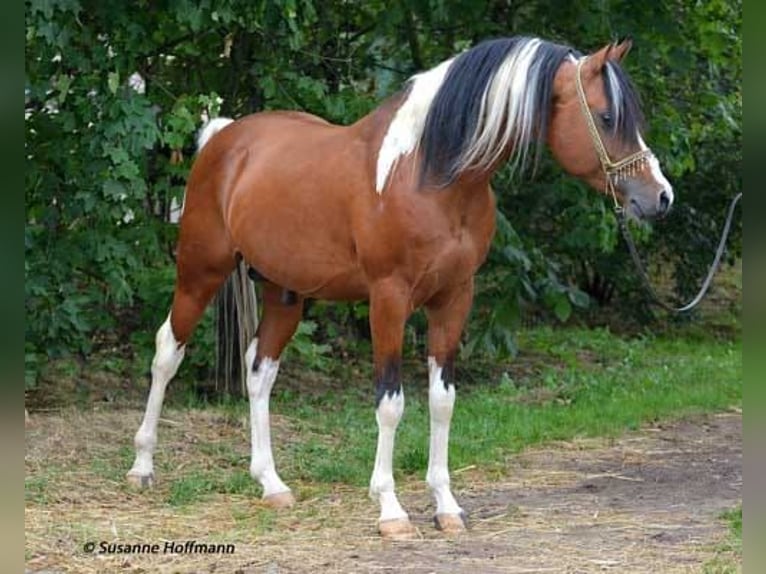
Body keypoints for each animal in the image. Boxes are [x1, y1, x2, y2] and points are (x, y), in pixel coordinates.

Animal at [127, 35, 680, 540]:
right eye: (606, 118)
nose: (660, 197)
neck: (431, 175)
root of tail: (224, 139)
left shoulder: (455, 298)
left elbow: (442, 400)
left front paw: (446, 506)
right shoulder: (388, 299)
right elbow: (390, 402)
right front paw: (390, 510)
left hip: (285, 292)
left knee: (259, 370)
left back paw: (271, 483)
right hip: (200, 271)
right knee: (166, 352)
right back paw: (142, 466)